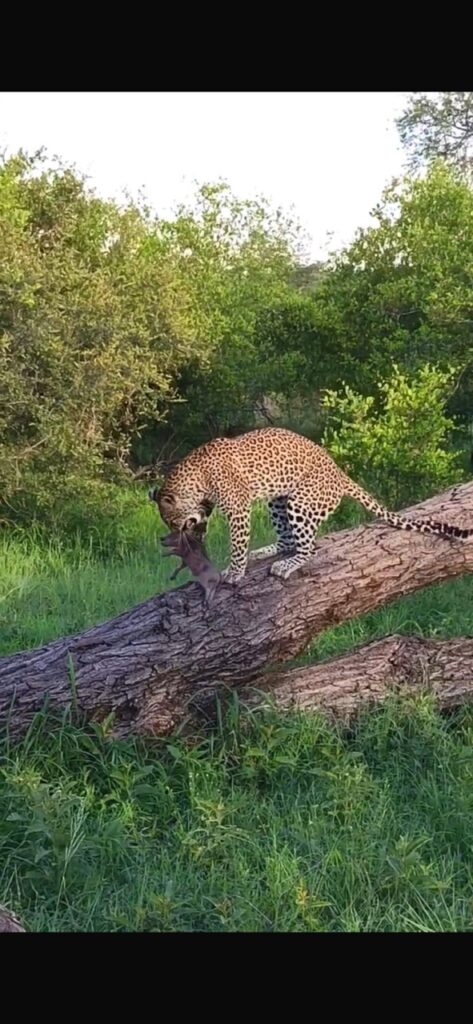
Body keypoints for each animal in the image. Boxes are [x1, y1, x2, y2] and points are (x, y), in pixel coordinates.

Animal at [152, 426, 472, 584]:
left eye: (171, 521)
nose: (178, 533)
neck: (197, 477)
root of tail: (339, 473)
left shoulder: (238, 509)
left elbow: (237, 544)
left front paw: (235, 572)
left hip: (300, 502)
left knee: (308, 548)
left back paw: (286, 566)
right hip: (278, 500)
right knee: (287, 540)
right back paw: (266, 552)